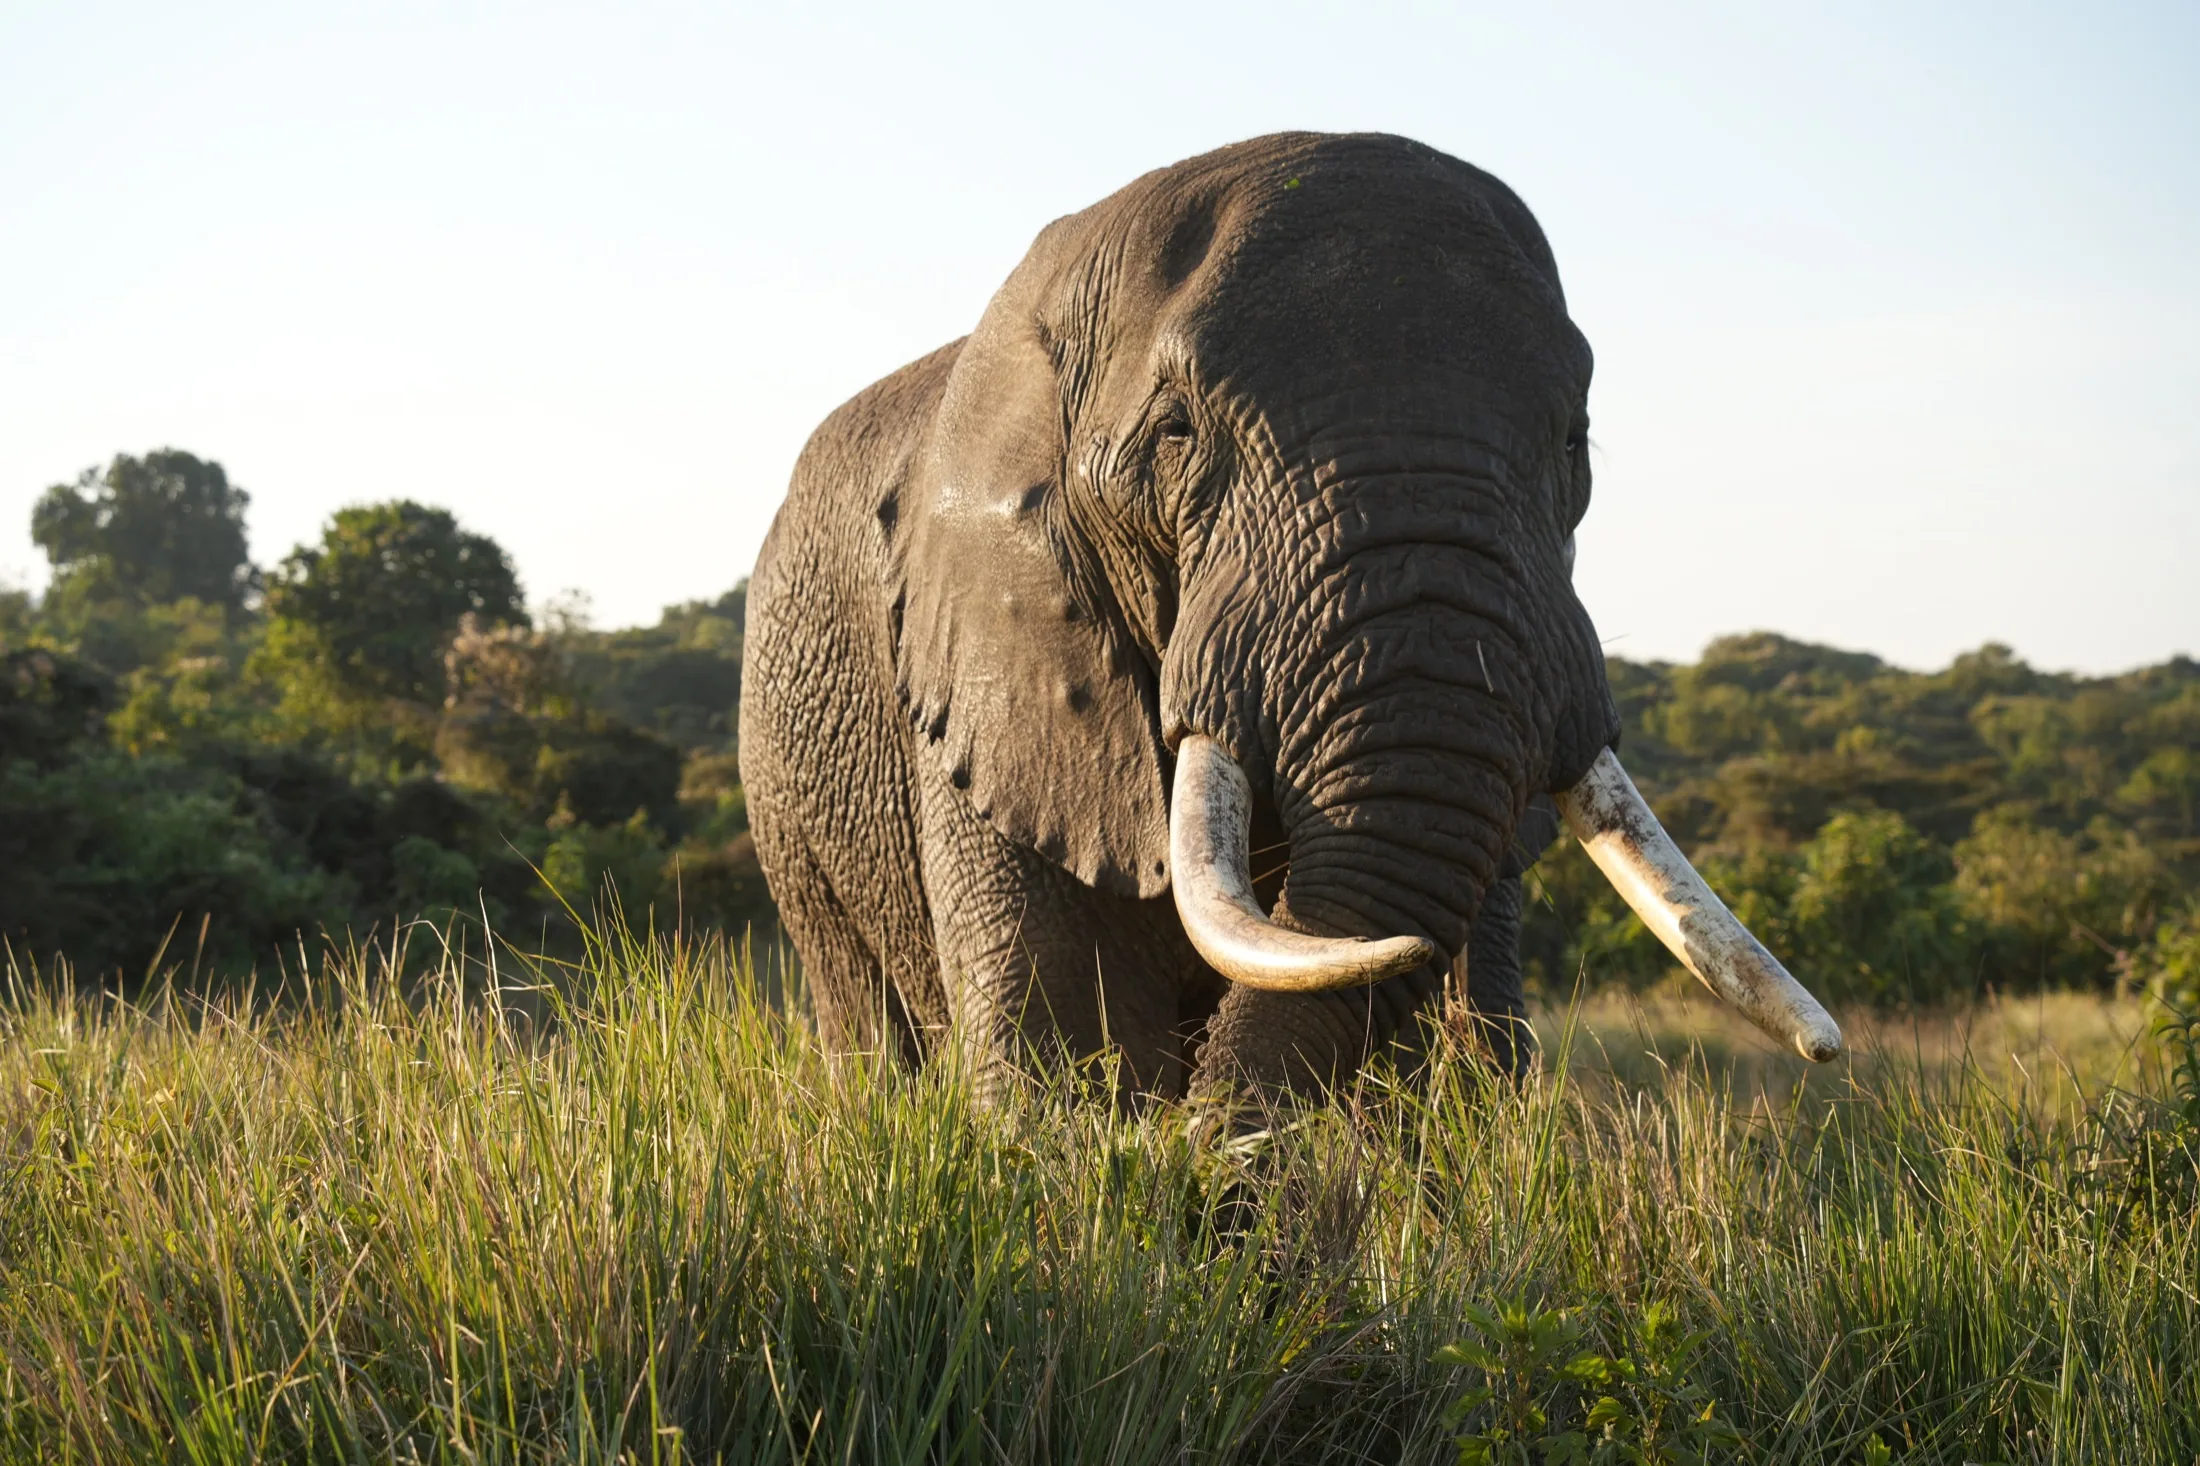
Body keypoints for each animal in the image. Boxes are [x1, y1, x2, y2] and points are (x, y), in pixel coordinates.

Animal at [740, 132, 1839, 1102]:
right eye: (1176, 433)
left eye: (1575, 439)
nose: (1828, 1051)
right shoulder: (996, 669)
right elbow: (1064, 1046)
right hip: (787, 809)